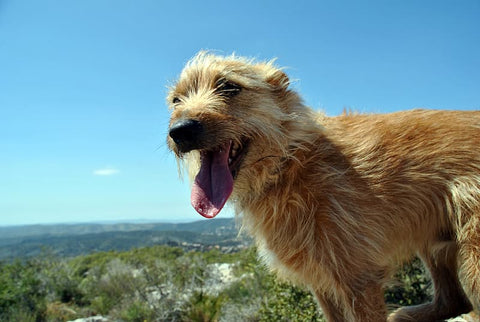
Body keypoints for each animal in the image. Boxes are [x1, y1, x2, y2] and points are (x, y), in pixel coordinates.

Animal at [166, 51, 480, 320]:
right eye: (176, 100)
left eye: (228, 87)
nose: (180, 131)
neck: (290, 164)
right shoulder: (322, 280)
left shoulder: (358, 279)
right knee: (454, 301)